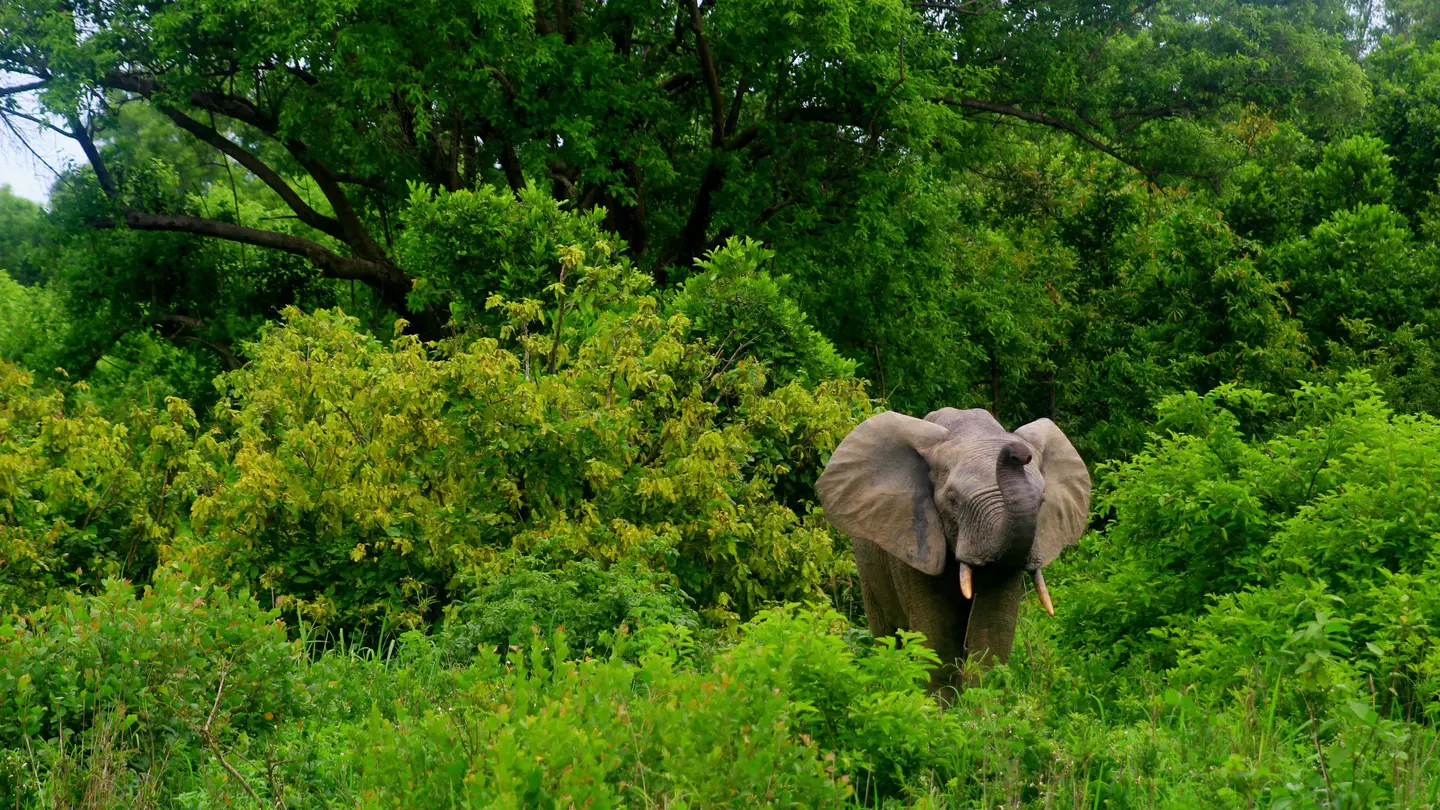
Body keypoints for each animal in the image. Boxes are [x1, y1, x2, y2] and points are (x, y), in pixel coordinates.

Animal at [816, 407, 1091, 693]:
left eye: (1042, 501)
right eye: (952, 500)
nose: (1018, 453)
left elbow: (991, 631)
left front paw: (981, 704)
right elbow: (938, 635)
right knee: (887, 635)